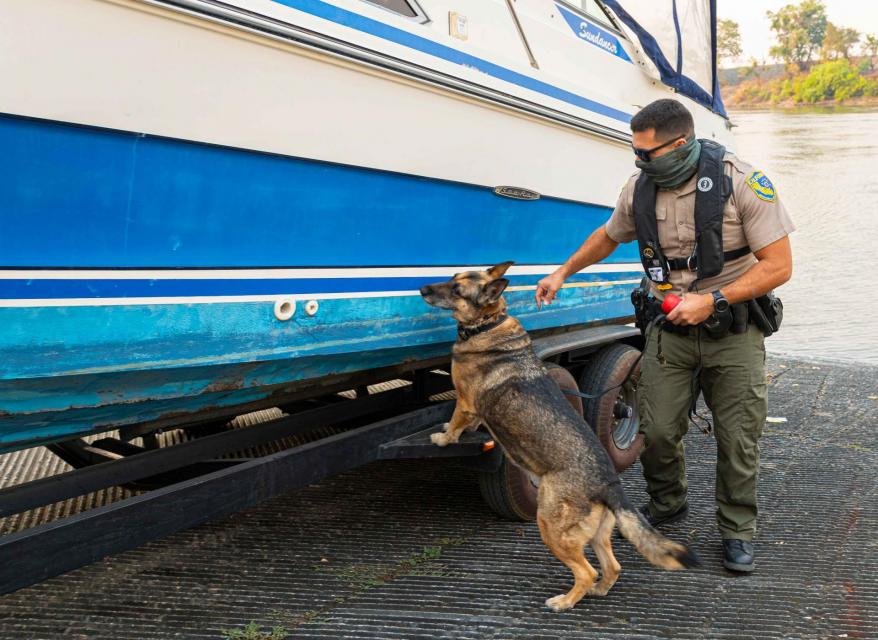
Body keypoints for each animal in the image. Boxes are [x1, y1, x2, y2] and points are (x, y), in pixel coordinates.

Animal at [422, 262, 700, 612]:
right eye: (451, 278)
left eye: (456, 290)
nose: (422, 289)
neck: (489, 324)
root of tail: (609, 484)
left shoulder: (465, 403)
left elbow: (455, 426)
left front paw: (443, 438)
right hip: (594, 534)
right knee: (612, 567)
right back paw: (597, 591)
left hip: (550, 526)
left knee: (586, 571)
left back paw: (565, 601)